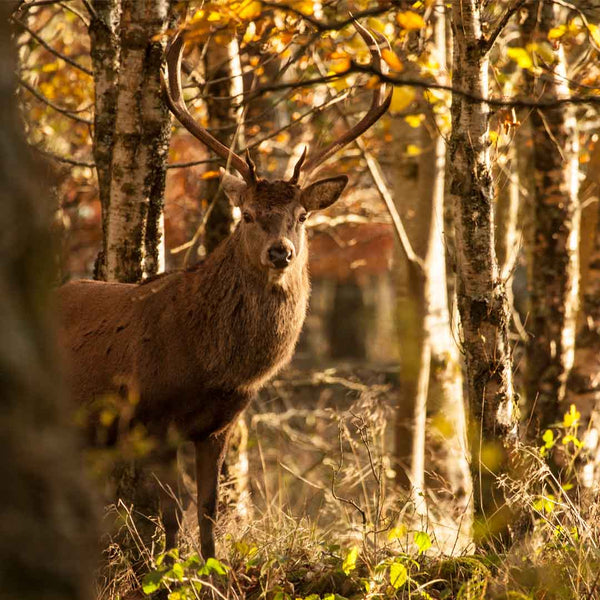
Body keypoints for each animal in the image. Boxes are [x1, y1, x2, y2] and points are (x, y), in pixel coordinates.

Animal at [58, 22, 392, 556]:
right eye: (248, 215)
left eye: (302, 216)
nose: (281, 252)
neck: (212, 365)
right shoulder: (152, 418)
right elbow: (172, 512)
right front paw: (168, 568)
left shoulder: (220, 423)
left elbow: (210, 509)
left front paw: (211, 568)